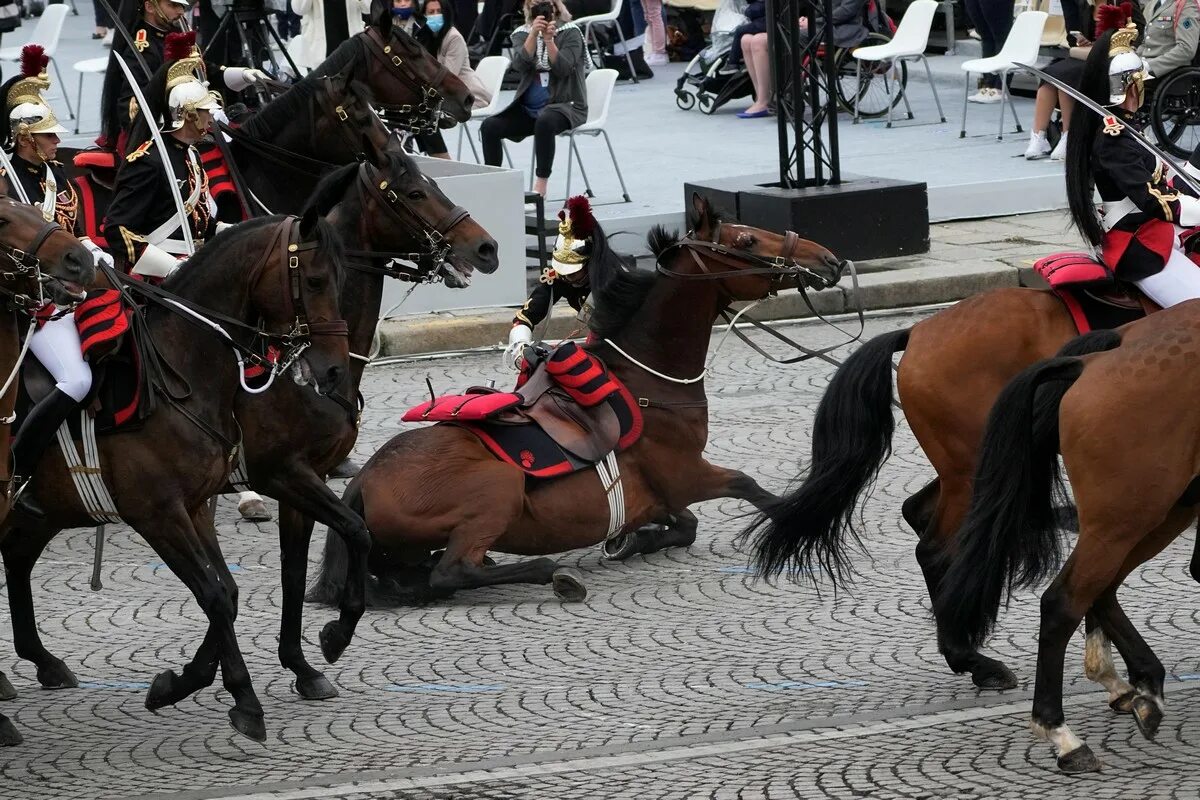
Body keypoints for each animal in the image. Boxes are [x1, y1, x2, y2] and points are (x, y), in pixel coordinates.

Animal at [0, 212, 348, 743]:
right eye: (313, 280)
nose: (332, 371)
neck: (180, 373)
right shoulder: (160, 514)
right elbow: (215, 595)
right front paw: (243, 701)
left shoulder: (196, 506)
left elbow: (228, 592)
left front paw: (185, 683)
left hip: (43, 514)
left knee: (16, 559)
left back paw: (41, 663)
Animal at [309, 194, 844, 604]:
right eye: (746, 241)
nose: (829, 260)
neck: (650, 384)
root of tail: (363, 482)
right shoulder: (687, 475)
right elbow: (751, 487)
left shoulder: (662, 494)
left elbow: (686, 525)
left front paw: (629, 541)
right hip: (498, 488)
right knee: (454, 571)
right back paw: (552, 573)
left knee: (410, 579)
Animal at [931, 303, 1200, 772]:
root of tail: (1090, 363)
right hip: (1128, 516)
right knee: (1064, 601)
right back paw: (1062, 733)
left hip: (1155, 514)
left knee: (1101, 591)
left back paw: (1139, 688)